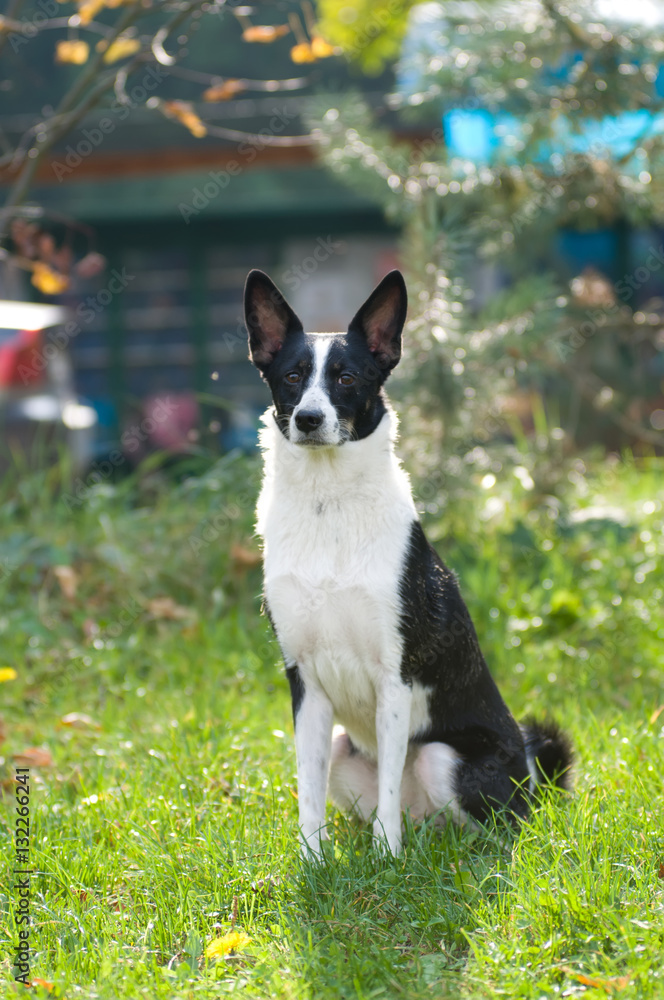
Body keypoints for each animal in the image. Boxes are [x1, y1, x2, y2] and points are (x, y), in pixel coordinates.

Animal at [244, 270, 572, 856]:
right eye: (292, 376)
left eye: (347, 378)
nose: (308, 418)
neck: (331, 506)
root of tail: (531, 774)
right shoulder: (305, 685)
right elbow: (307, 792)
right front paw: (312, 861)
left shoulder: (394, 679)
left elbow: (391, 783)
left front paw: (386, 858)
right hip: (342, 746)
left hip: (446, 760)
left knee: (487, 823)